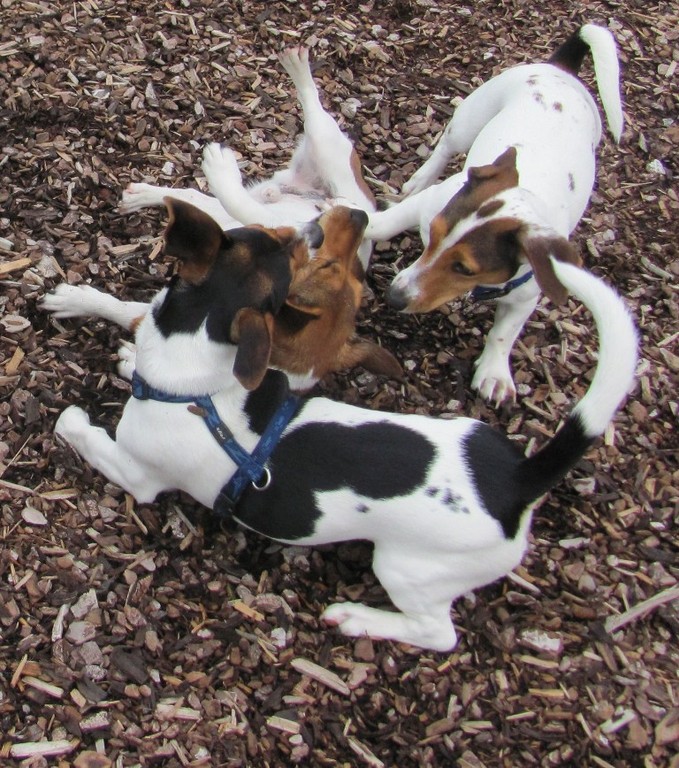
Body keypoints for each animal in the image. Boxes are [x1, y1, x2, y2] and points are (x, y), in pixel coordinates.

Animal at [42, 203, 401, 391]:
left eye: (320, 264)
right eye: (356, 277)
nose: (362, 215)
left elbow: (123, 309)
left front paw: (69, 299)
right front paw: (73, 298)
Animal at [365, 24, 624, 405]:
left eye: (464, 268)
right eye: (433, 235)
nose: (393, 297)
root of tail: (561, 69)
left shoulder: (526, 296)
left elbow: (504, 332)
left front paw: (495, 372)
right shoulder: (431, 204)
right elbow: (385, 224)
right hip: (469, 120)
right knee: (445, 147)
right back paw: (416, 179)